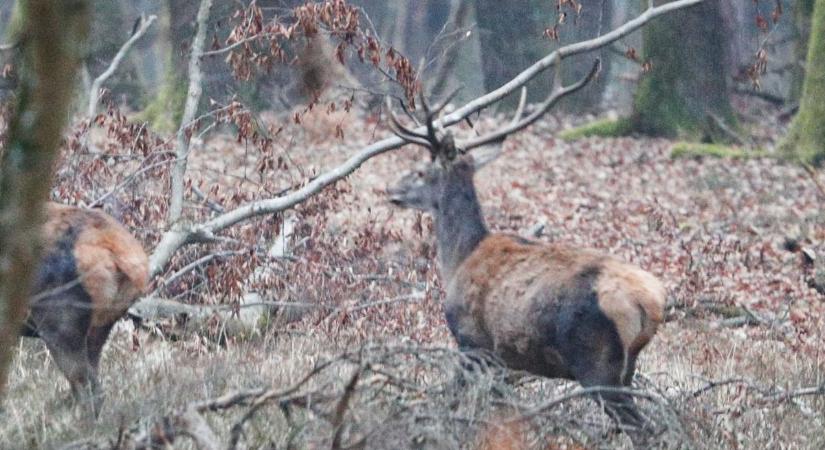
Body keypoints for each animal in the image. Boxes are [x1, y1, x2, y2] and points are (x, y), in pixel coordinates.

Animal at [384, 58, 664, 430]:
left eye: (419, 171)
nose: (391, 190)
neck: (458, 259)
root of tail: (651, 303)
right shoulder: (503, 360)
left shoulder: (473, 342)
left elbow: (457, 401)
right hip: (626, 369)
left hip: (597, 362)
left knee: (645, 429)